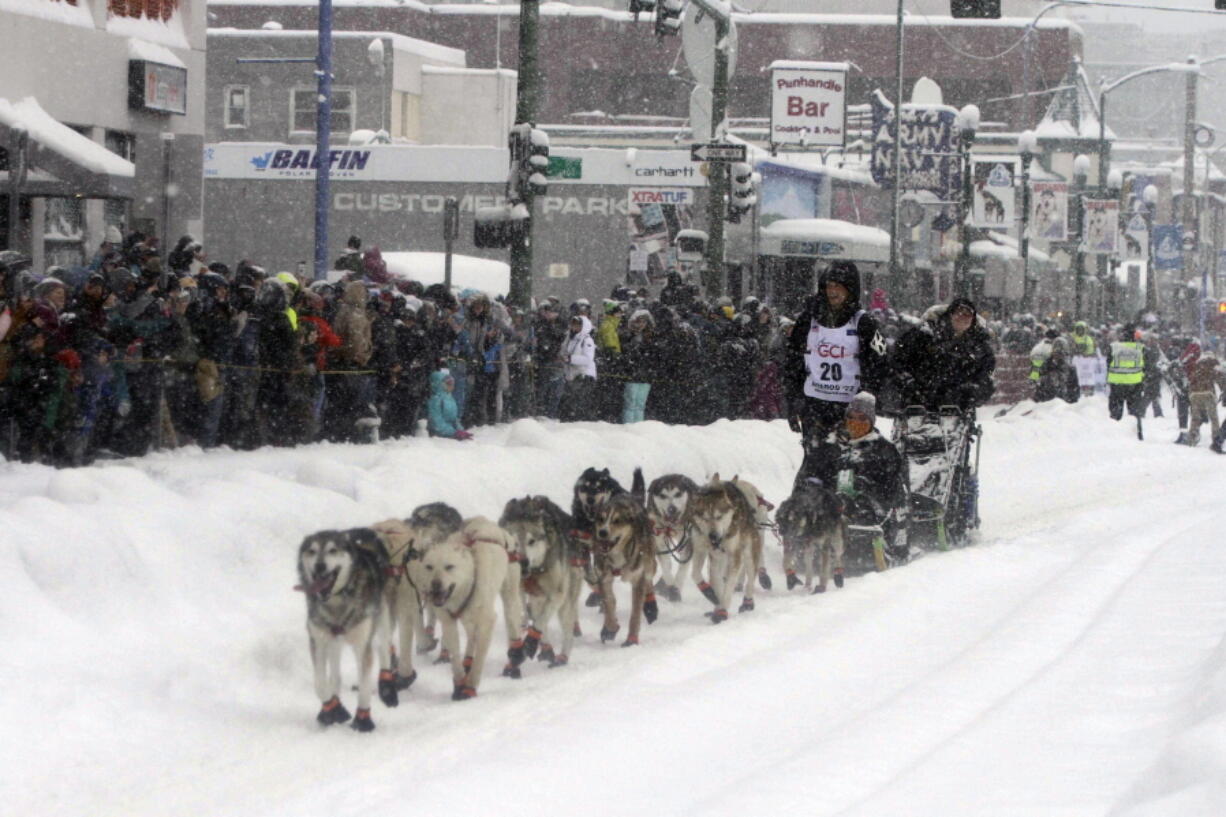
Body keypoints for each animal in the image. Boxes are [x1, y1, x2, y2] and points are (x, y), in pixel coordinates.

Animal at [296, 527, 392, 731]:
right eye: (312, 551)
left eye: (333, 550)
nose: (320, 566)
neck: (336, 601)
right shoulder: (318, 641)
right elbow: (320, 682)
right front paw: (332, 710)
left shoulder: (363, 645)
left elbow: (364, 686)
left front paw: (363, 721)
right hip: (334, 643)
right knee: (335, 675)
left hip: (382, 620)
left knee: (384, 650)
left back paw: (387, 687)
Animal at [414, 515, 524, 691]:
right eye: (429, 567)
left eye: (449, 566)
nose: (435, 584)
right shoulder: (448, 621)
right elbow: (455, 654)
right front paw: (459, 682)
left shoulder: (487, 621)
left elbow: (480, 659)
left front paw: (470, 686)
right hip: (469, 617)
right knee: (472, 636)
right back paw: (467, 660)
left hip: (509, 594)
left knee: (512, 618)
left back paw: (515, 659)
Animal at [502, 493, 588, 667]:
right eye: (514, 541)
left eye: (531, 541)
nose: (523, 562)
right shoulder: (513, 593)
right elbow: (520, 620)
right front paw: (516, 652)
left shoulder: (557, 594)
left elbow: (541, 622)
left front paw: (530, 642)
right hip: (536, 598)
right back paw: (546, 648)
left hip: (566, 602)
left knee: (567, 630)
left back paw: (562, 657)